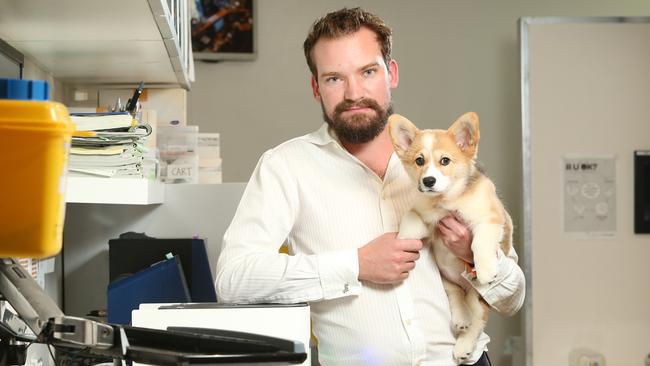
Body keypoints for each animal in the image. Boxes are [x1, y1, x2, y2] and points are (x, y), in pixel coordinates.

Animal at [384, 113, 512, 364]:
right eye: (419, 161)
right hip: (446, 278)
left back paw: (463, 346)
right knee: (456, 295)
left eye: (445, 161)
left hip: (478, 297)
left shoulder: (490, 219)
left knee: (477, 319)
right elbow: (410, 219)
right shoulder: (424, 216)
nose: (428, 181)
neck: (446, 201)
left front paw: (485, 269)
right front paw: (402, 240)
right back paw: (461, 318)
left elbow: (479, 242)